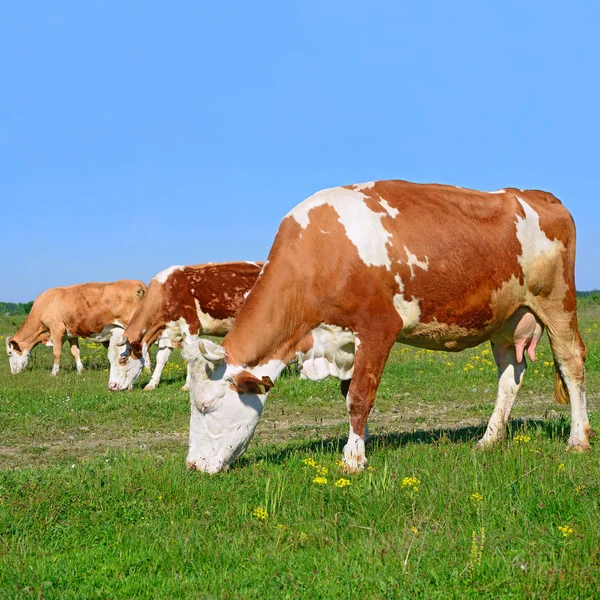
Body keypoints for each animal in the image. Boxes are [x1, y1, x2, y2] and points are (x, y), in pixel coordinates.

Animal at [7, 280, 149, 376]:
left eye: (9, 353)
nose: (13, 372)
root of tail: (138, 283)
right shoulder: (71, 334)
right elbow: (75, 352)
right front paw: (80, 370)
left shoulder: (56, 330)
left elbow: (56, 353)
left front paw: (54, 372)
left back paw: (147, 369)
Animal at [106, 260, 262, 392]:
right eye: (109, 359)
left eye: (123, 358)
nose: (112, 386)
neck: (167, 290)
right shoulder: (167, 333)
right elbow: (161, 359)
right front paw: (152, 384)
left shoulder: (190, 328)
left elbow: (189, 357)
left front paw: (187, 386)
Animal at [183, 179, 592, 474]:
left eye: (205, 405)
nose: (192, 467)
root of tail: (538, 195)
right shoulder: (342, 342)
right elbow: (348, 395)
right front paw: (359, 446)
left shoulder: (378, 328)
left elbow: (360, 396)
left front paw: (352, 460)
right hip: (508, 320)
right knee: (509, 376)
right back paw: (489, 440)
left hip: (557, 302)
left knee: (571, 364)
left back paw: (578, 439)